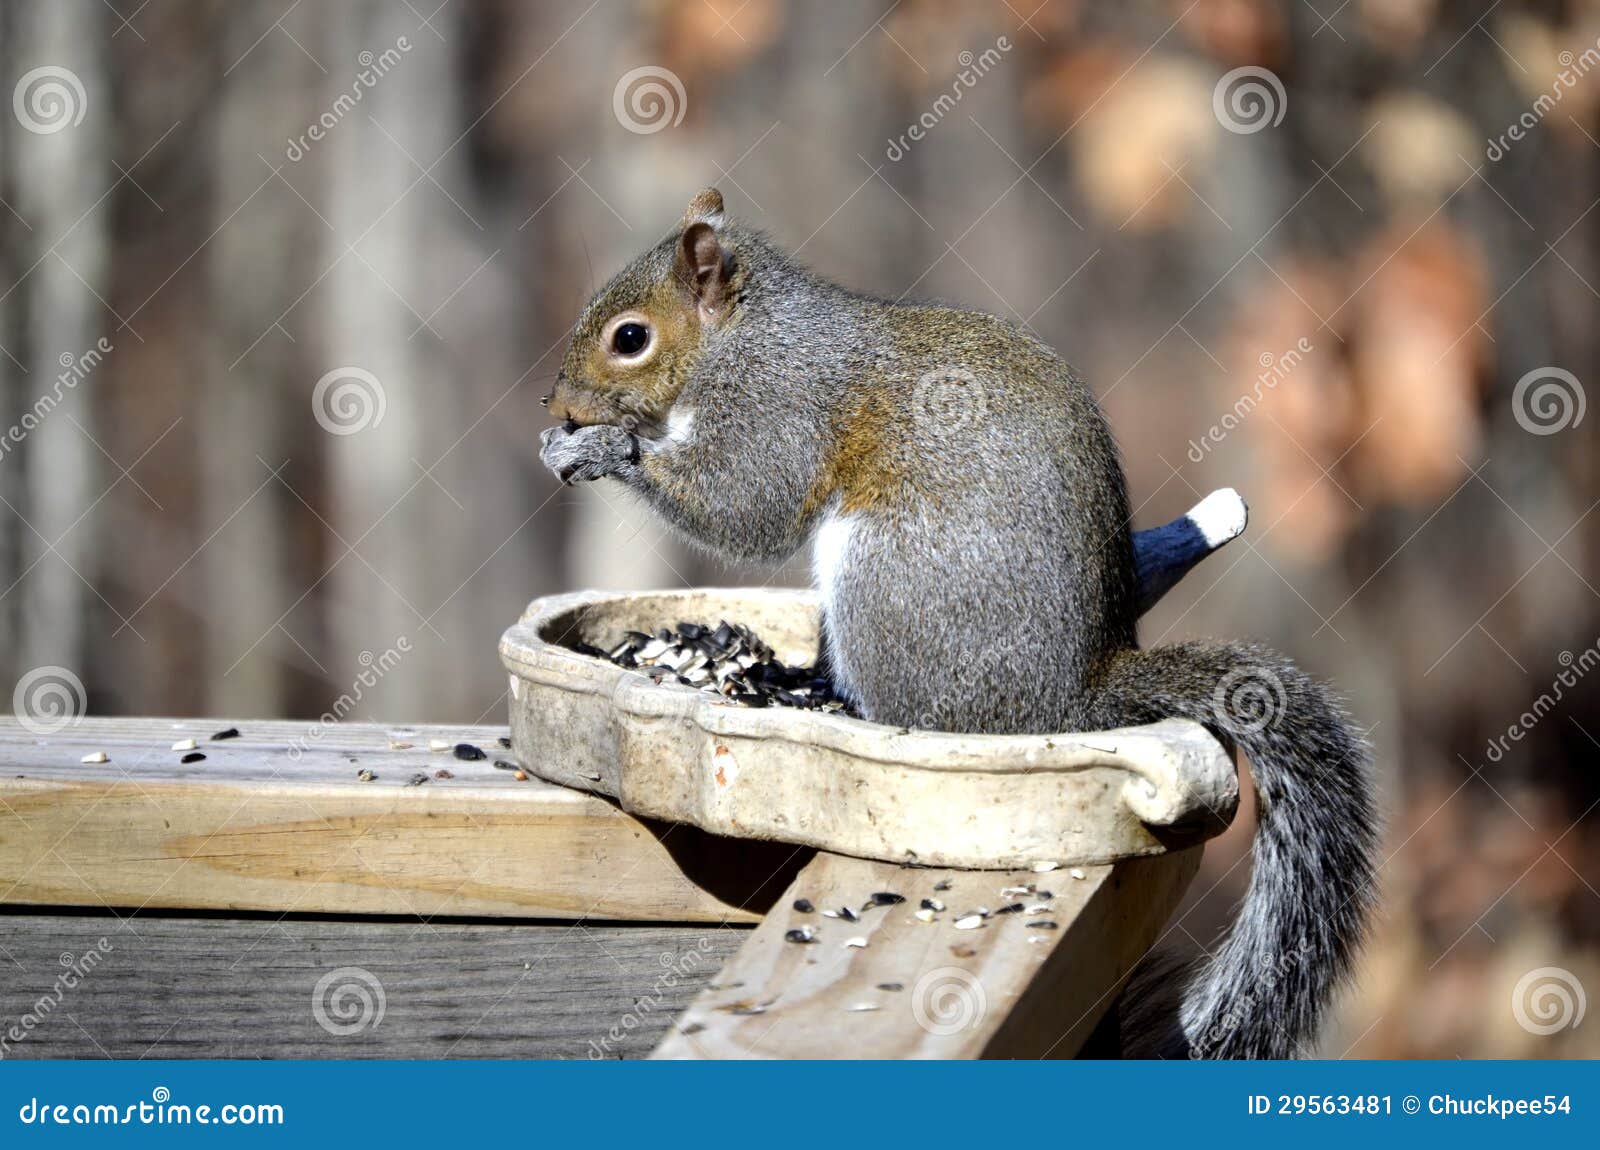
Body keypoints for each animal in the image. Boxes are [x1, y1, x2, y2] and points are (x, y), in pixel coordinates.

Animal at [540, 188, 1377, 1060]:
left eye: (629, 338)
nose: (555, 405)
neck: (743, 337)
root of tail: (1077, 693)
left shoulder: (777, 411)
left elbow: (747, 510)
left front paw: (605, 449)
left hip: (884, 576)